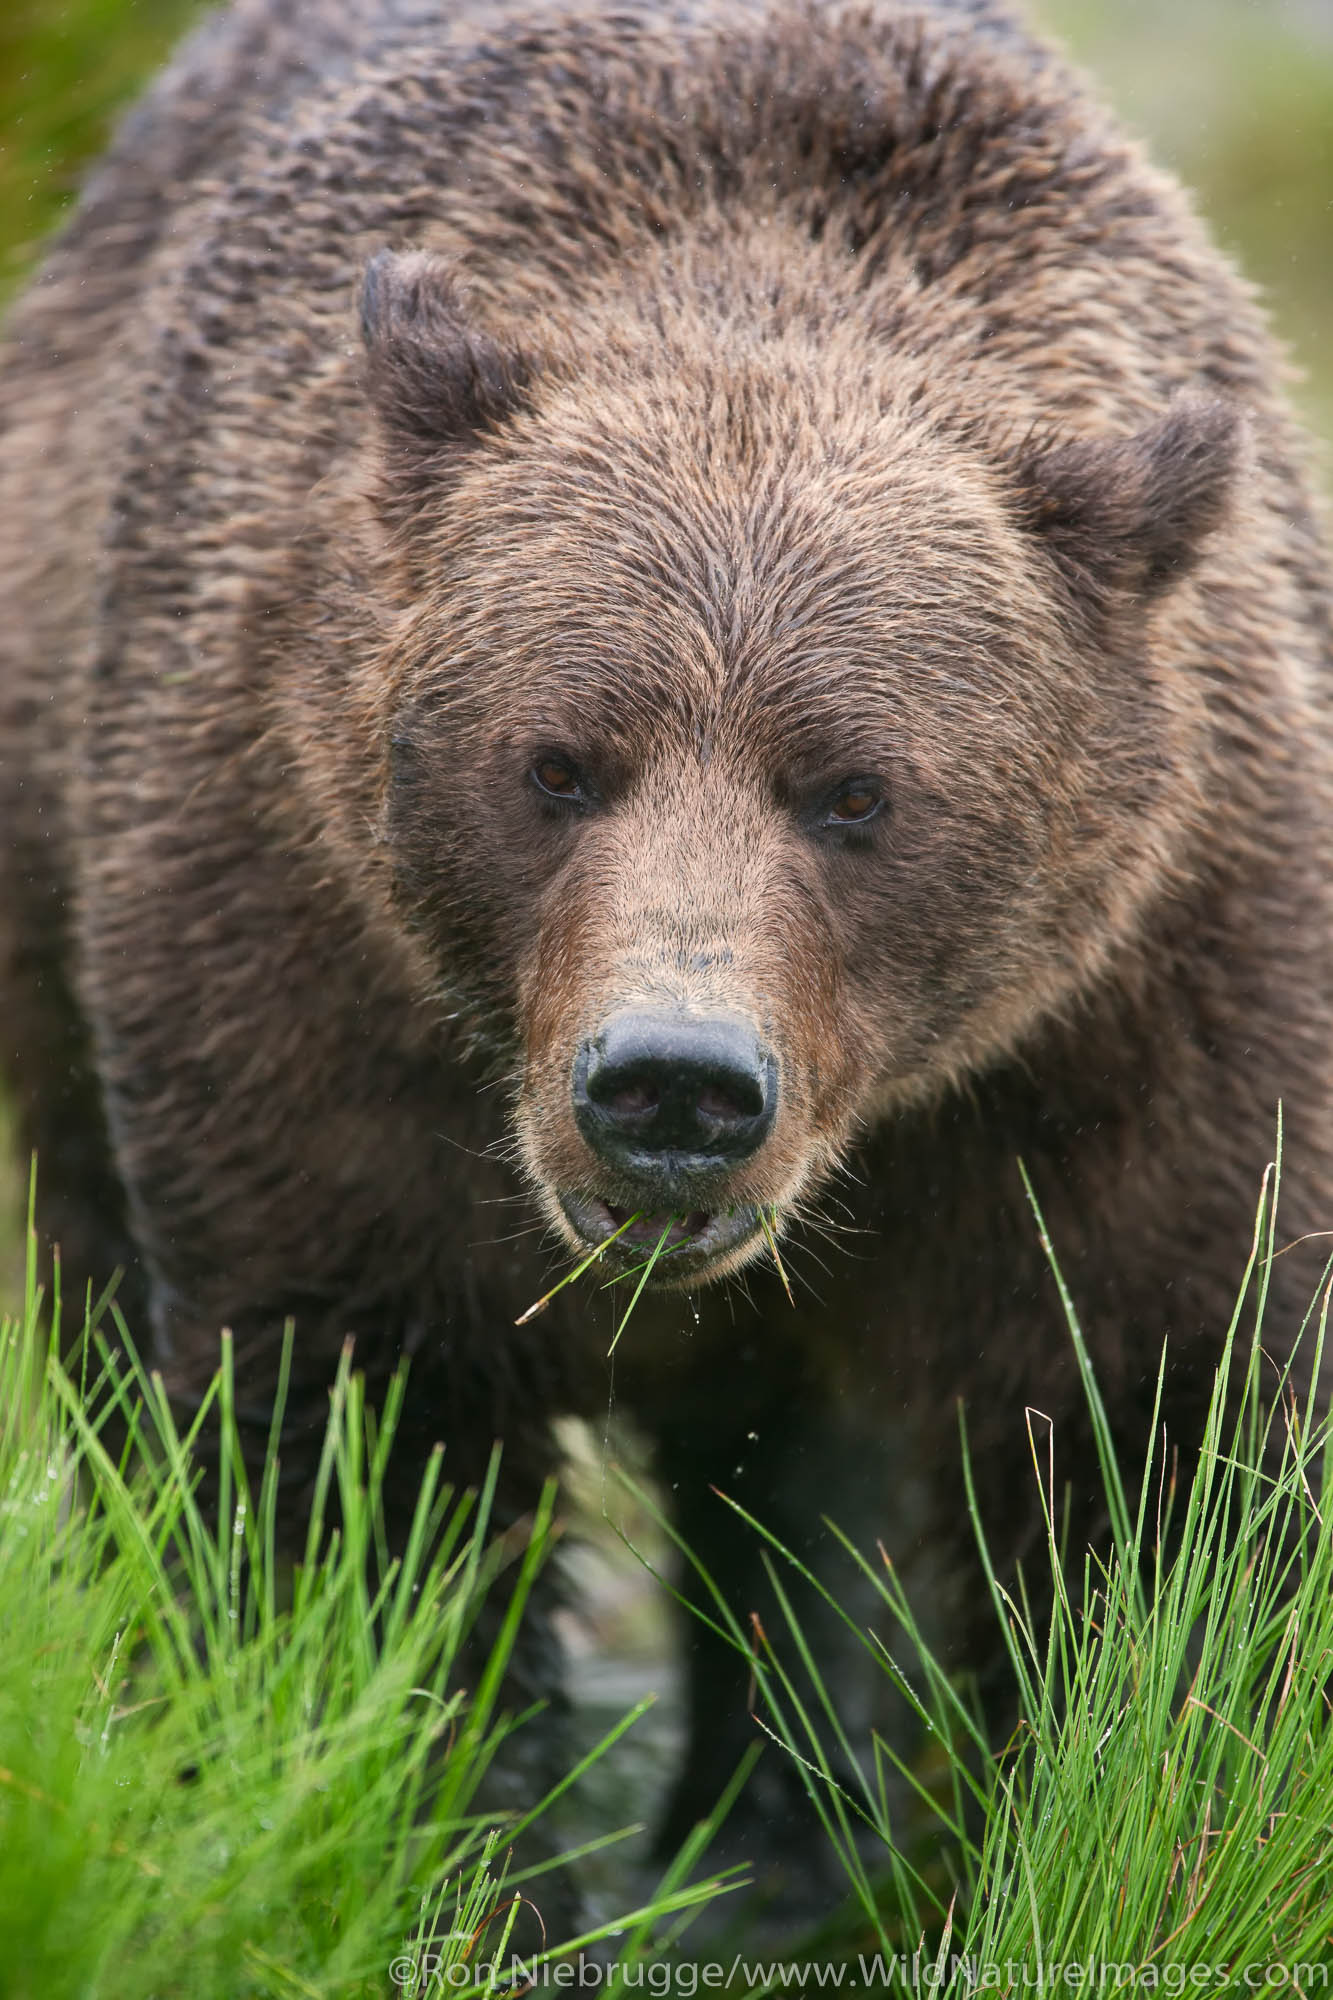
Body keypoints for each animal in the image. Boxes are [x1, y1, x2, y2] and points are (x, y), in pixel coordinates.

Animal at [2, 0, 1328, 1936]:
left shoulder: (1143, 993)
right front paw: (457, 1850)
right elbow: (362, 1435)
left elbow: (1162, 1435)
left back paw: (772, 1833)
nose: (673, 1086)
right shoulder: (298, 934)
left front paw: (1124, 1820)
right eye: (558, 763)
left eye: (854, 790)